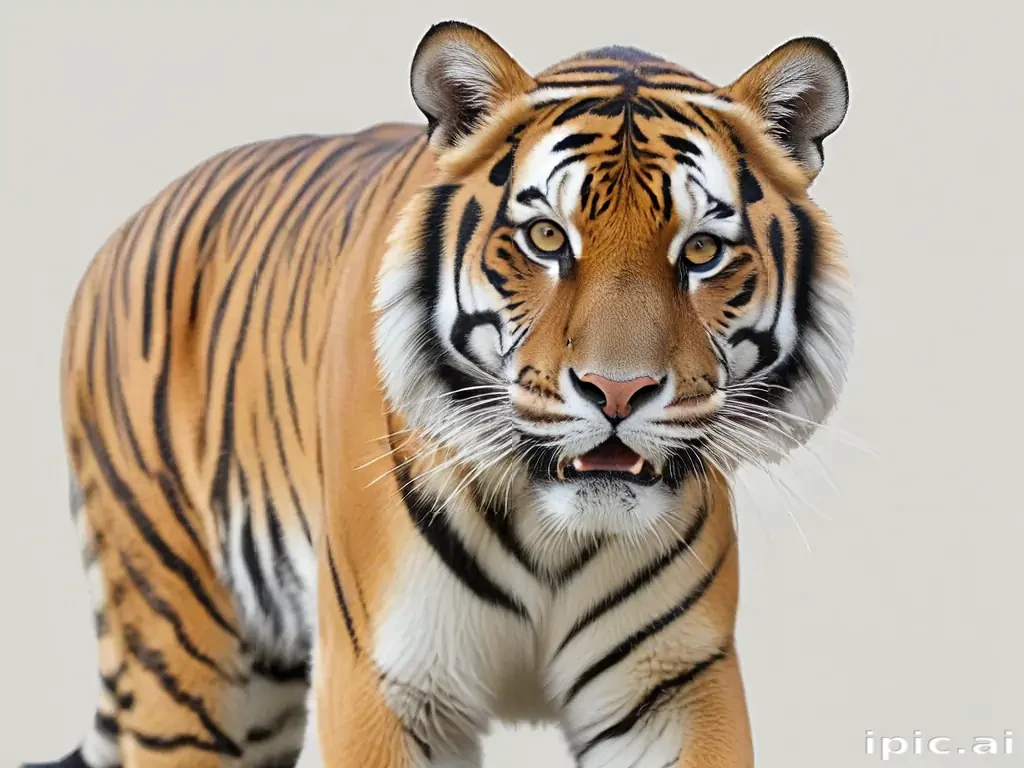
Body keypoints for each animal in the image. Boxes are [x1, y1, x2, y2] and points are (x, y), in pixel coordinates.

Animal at [22, 20, 853, 768]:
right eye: (546, 239)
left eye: (702, 251)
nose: (619, 391)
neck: (552, 531)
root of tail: (125, 229)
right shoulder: (385, 685)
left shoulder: (675, 685)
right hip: (187, 655)